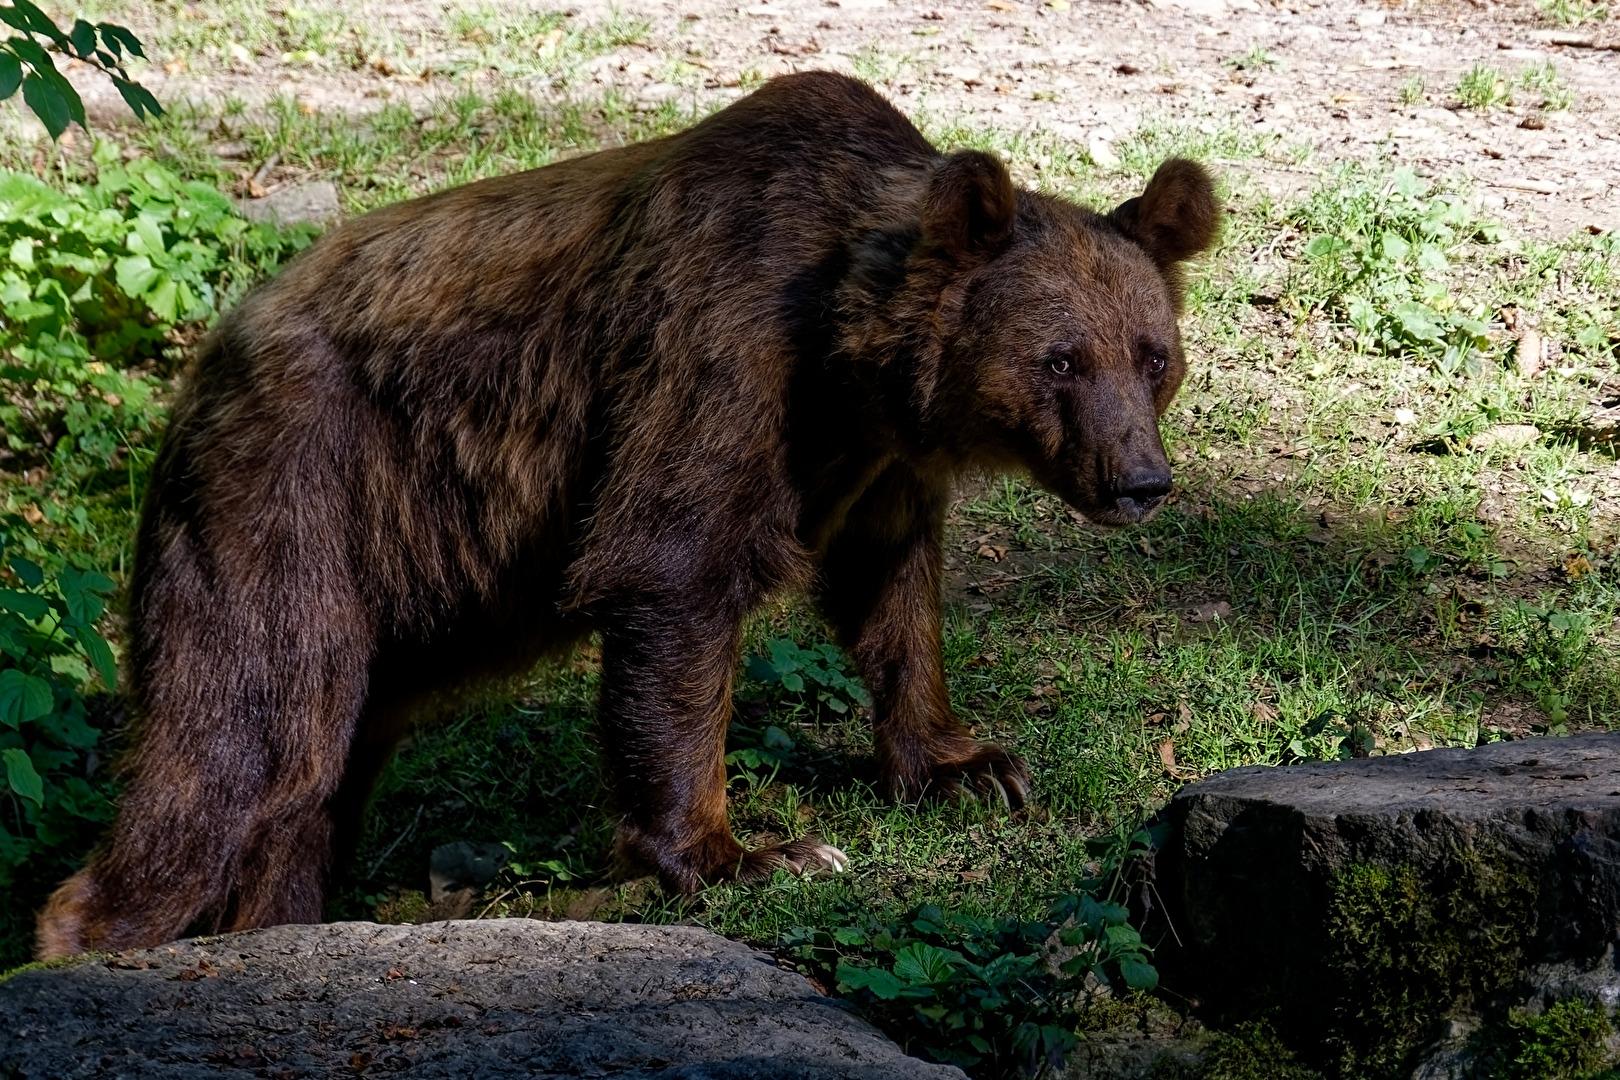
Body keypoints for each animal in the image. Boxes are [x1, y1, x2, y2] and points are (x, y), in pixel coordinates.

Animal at [31, 71, 1218, 958]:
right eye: (1061, 358)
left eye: (1151, 355)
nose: (1140, 480)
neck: (855, 367)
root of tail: (209, 361)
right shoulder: (720, 356)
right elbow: (672, 573)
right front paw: (751, 851)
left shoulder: (870, 465)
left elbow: (891, 593)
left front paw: (968, 766)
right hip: (296, 489)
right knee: (242, 729)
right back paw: (98, 935)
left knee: (314, 776)